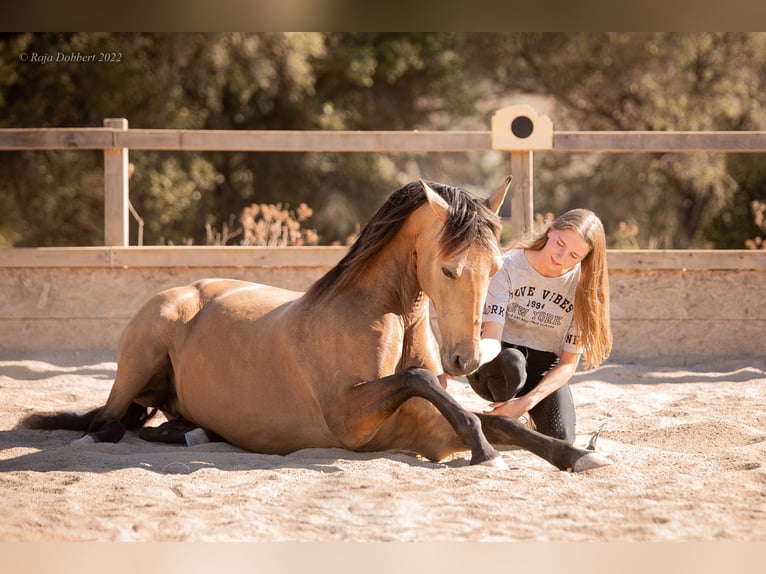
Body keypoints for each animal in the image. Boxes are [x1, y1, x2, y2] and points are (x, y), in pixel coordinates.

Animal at [22, 179, 612, 472]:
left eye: (494, 269)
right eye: (448, 269)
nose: (466, 361)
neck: (385, 315)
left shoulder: (423, 423)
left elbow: (506, 423)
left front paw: (578, 456)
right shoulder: (349, 419)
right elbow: (424, 382)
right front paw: (484, 452)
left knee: (159, 422)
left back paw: (193, 432)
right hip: (139, 356)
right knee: (107, 424)